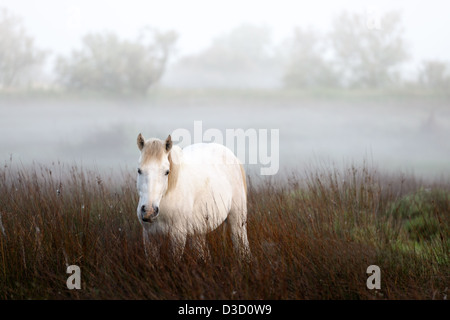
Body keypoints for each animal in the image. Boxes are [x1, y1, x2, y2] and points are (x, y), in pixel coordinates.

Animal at [135, 134, 251, 262]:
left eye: (166, 172)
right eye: (139, 170)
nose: (149, 211)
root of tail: (233, 157)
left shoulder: (178, 235)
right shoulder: (150, 237)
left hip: (237, 222)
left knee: (242, 248)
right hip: (198, 231)